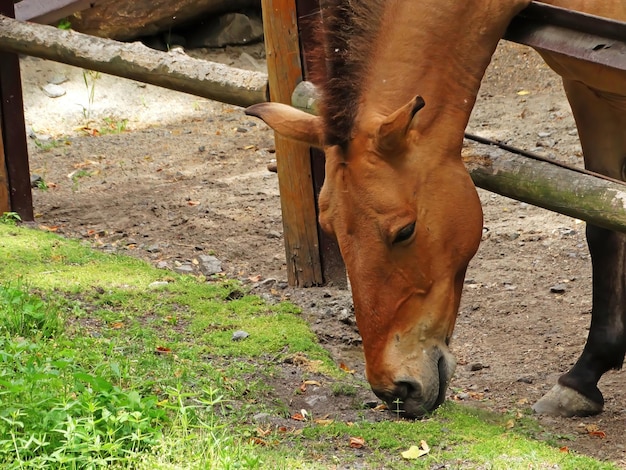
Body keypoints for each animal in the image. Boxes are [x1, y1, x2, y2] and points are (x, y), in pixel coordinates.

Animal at [246, 0, 624, 418]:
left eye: (406, 230)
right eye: (328, 227)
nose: (396, 391)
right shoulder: (589, 90)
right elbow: (603, 224)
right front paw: (583, 378)